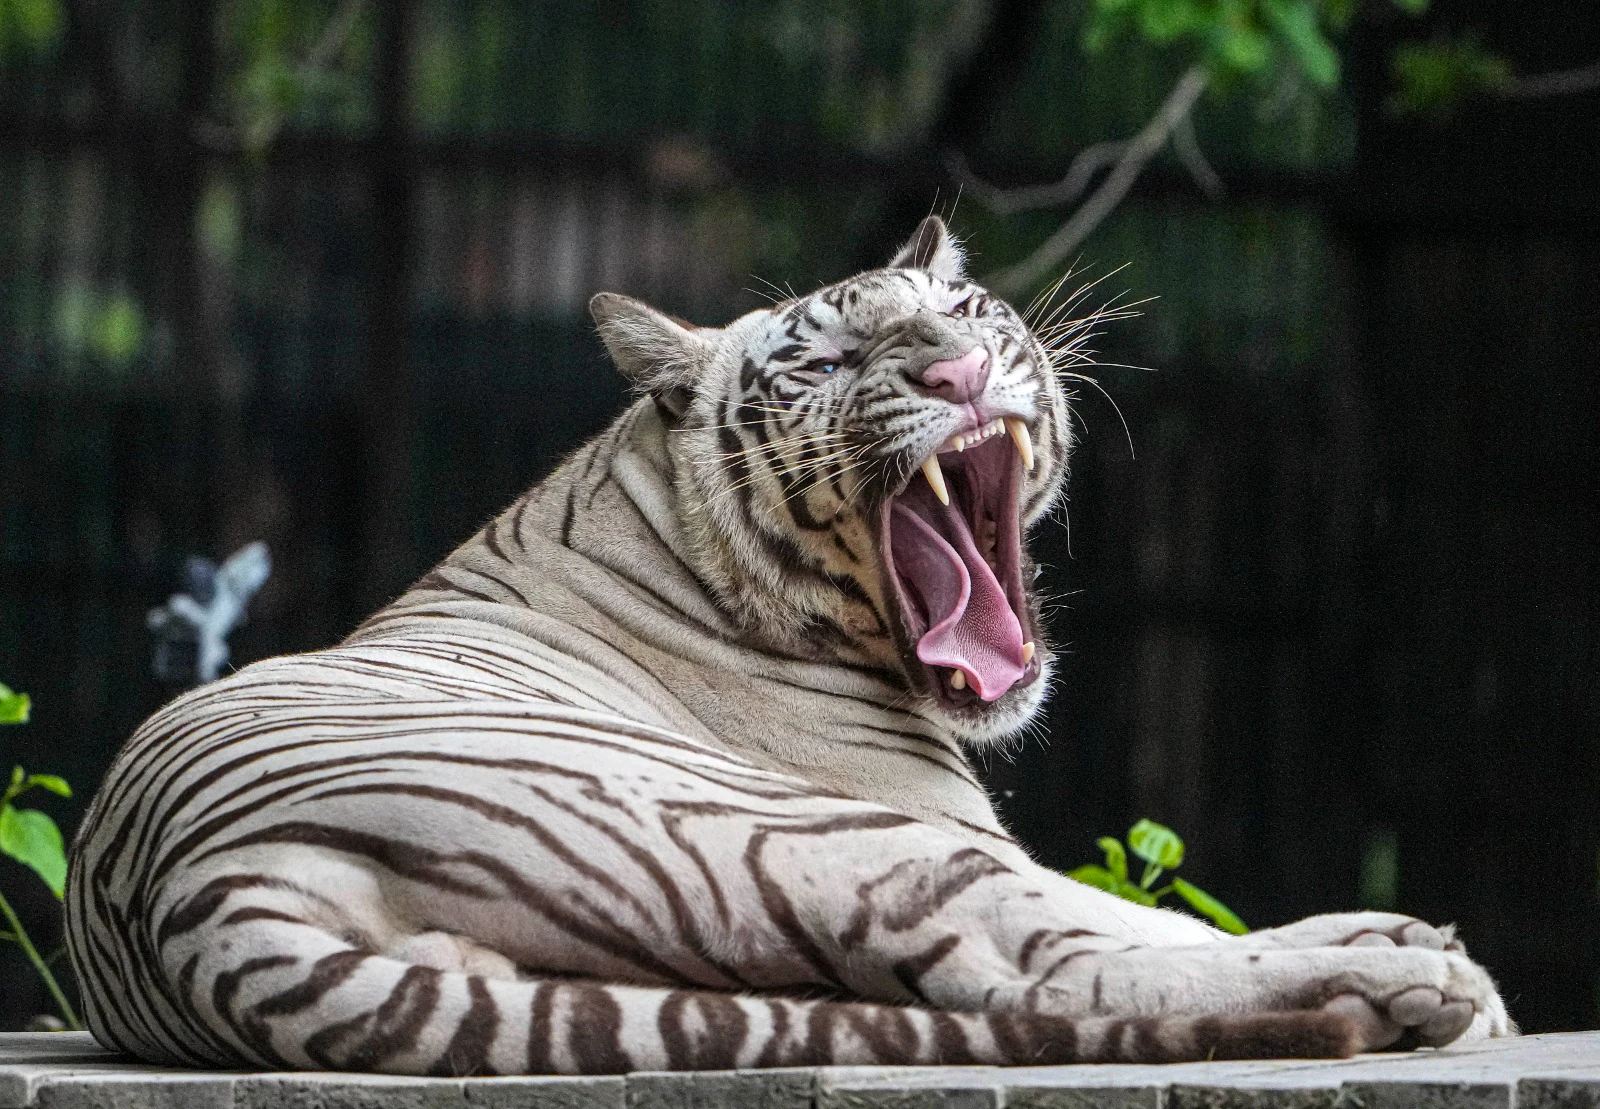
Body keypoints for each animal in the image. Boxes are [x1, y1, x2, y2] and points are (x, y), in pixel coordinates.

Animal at [64, 216, 1512, 1076]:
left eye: (962, 313)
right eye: (823, 364)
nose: (952, 374)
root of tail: (191, 903)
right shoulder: (936, 820)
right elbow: (1128, 919)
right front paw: (1405, 948)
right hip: (816, 834)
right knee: (1047, 959)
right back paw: (1407, 976)